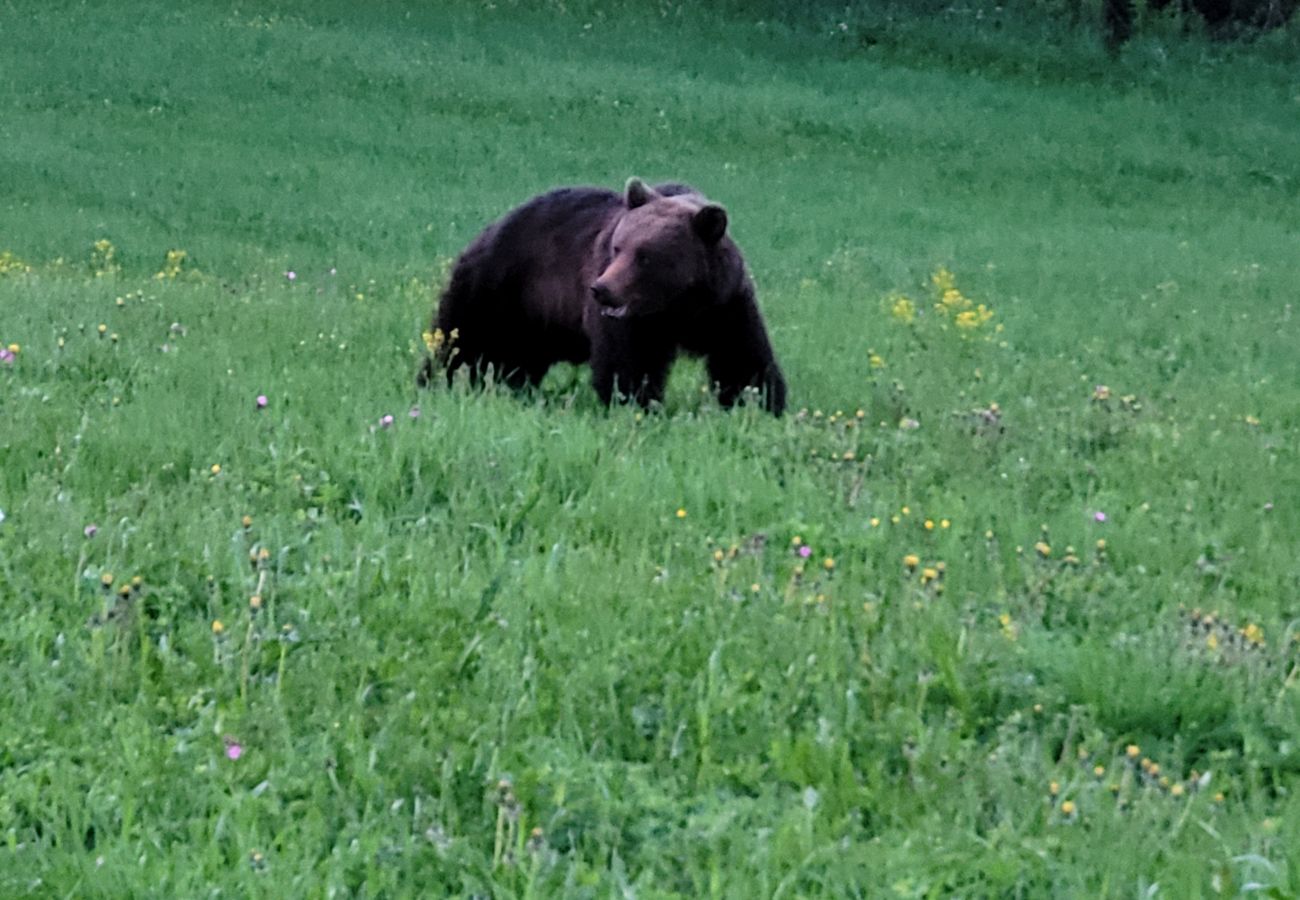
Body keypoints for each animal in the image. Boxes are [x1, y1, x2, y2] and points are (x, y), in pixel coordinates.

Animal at [418, 178, 780, 413]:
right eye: (618, 248)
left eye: (645, 256)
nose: (602, 289)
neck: (678, 308)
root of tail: (491, 227)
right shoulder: (632, 324)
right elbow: (628, 365)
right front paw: (639, 405)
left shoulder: (725, 306)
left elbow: (742, 359)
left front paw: (761, 404)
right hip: (497, 290)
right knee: (458, 341)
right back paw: (434, 383)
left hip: (532, 321)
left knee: (516, 361)